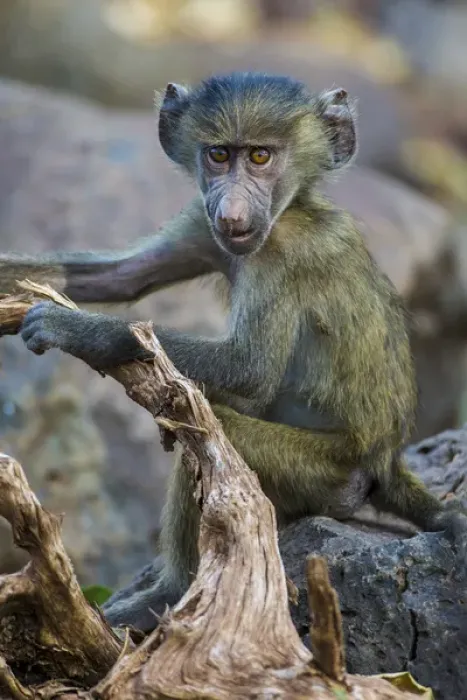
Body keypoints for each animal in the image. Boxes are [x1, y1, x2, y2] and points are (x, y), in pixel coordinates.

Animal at [1, 73, 466, 633]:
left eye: (261, 156)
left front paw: (70, 327)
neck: (291, 209)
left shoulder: (284, 255)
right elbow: (116, 278)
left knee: (212, 430)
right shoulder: (204, 225)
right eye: (219, 155)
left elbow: (248, 370)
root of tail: (386, 459)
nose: (233, 210)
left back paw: (168, 595)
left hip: (330, 476)